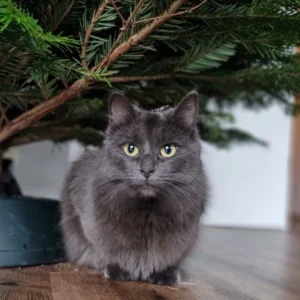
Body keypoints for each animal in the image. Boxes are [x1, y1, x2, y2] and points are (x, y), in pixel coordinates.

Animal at [59, 92, 207, 286]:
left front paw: (164, 274)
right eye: (131, 149)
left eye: (168, 150)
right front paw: (119, 269)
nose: (147, 170)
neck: (147, 211)